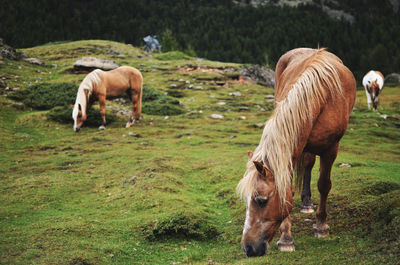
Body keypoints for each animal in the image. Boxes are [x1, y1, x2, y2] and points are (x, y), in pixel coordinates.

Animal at [236, 47, 354, 256]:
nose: (248, 248)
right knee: (307, 163)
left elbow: (324, 185)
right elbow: (287, 189)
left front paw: (321, 226)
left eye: (261, 200)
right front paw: (286, 239)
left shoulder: (331, 148)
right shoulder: (290, 151)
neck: (322, 96)